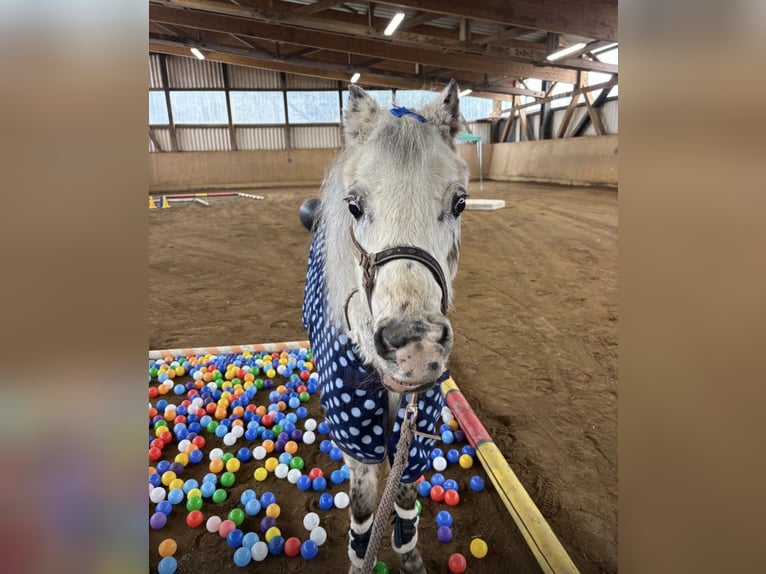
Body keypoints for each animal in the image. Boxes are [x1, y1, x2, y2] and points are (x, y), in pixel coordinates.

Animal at [302, 80, 469, 574]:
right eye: (354, 204)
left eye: (459, 202)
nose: (414, 346)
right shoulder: (356, 439)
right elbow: (362, 507)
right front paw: (362, 556)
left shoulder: (417, 429)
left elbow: (406, 497)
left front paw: (409, 554)